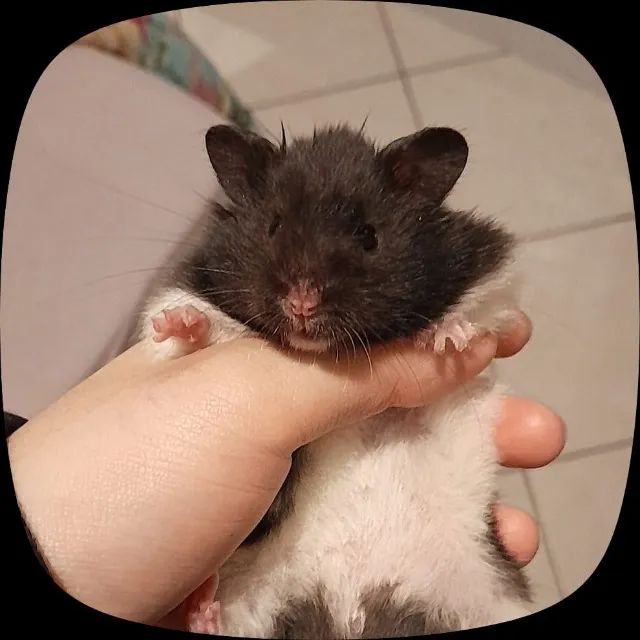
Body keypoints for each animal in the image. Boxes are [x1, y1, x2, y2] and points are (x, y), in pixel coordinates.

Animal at [136, 123, 532, 637]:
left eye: (368, 235)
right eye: (273, 226)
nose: (302, 303)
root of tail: (349, 621)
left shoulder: (493, 273)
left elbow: (481, 310)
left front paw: (447, 341)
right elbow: (195, 322)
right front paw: (179, 324)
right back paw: (205, 610)